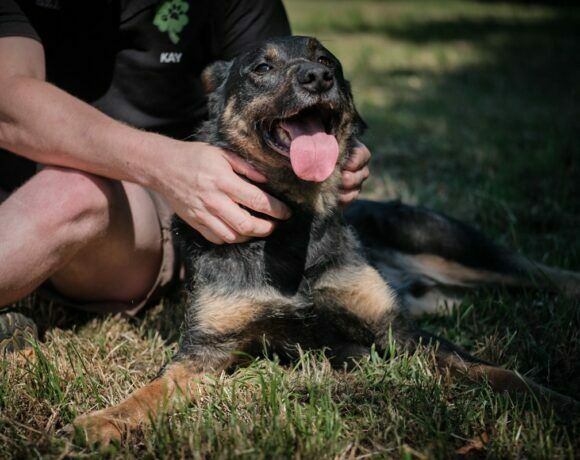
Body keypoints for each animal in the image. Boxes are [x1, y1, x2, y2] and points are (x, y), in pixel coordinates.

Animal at [72, 36, 580, 446]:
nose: (319, 77)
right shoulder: (206, 349)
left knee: (542, 273)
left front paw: (555, 402)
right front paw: (103, 420)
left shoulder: (399, 332)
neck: (293, 229)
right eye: (262, 67)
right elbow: (151, 389)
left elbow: (495, 370)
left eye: (326, 59)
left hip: (457, 249)